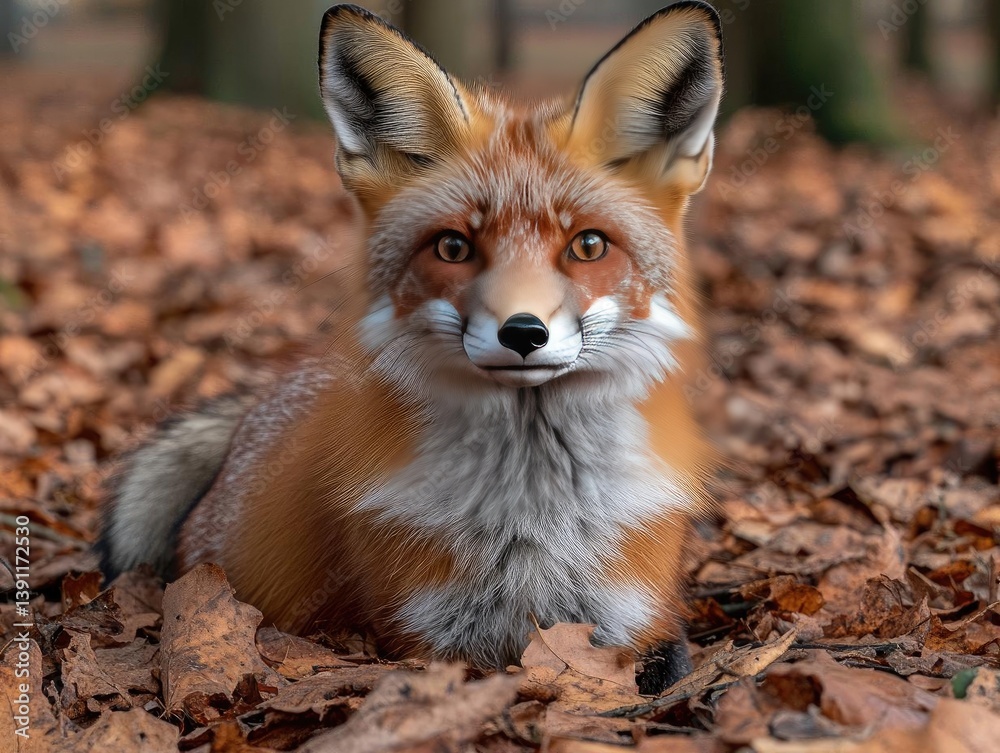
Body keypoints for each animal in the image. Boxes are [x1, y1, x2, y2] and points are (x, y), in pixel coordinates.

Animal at [99, 1, 724, 692]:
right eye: (453, 247)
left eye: (588, 246)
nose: (523, 332)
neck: (534, 525)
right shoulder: (423, 638)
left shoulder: (636, 624)